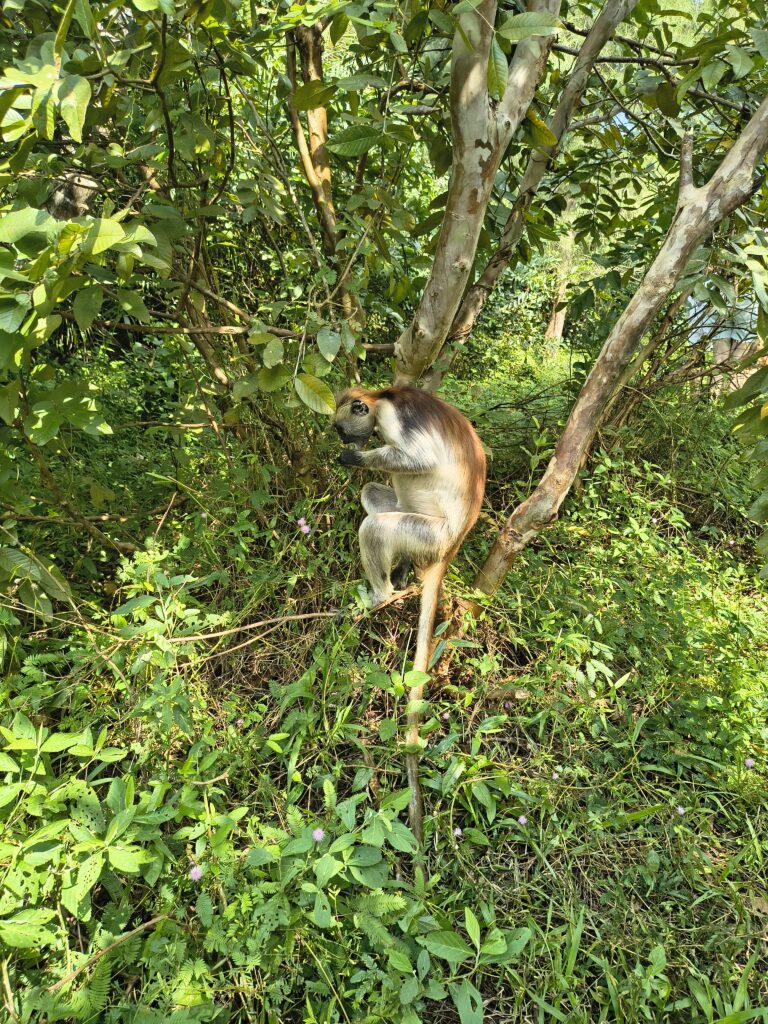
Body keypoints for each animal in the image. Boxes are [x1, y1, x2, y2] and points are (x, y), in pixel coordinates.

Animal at [334, 385, 486, 841]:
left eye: (342, 427)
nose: (343, 438)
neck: (381, 395)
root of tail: (450, 549)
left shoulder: (395, 415)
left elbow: (421, 461)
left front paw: (357, 458)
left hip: (427, 534)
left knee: (377, 527)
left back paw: (381, 595)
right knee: (374, 498)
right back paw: (400, 573)